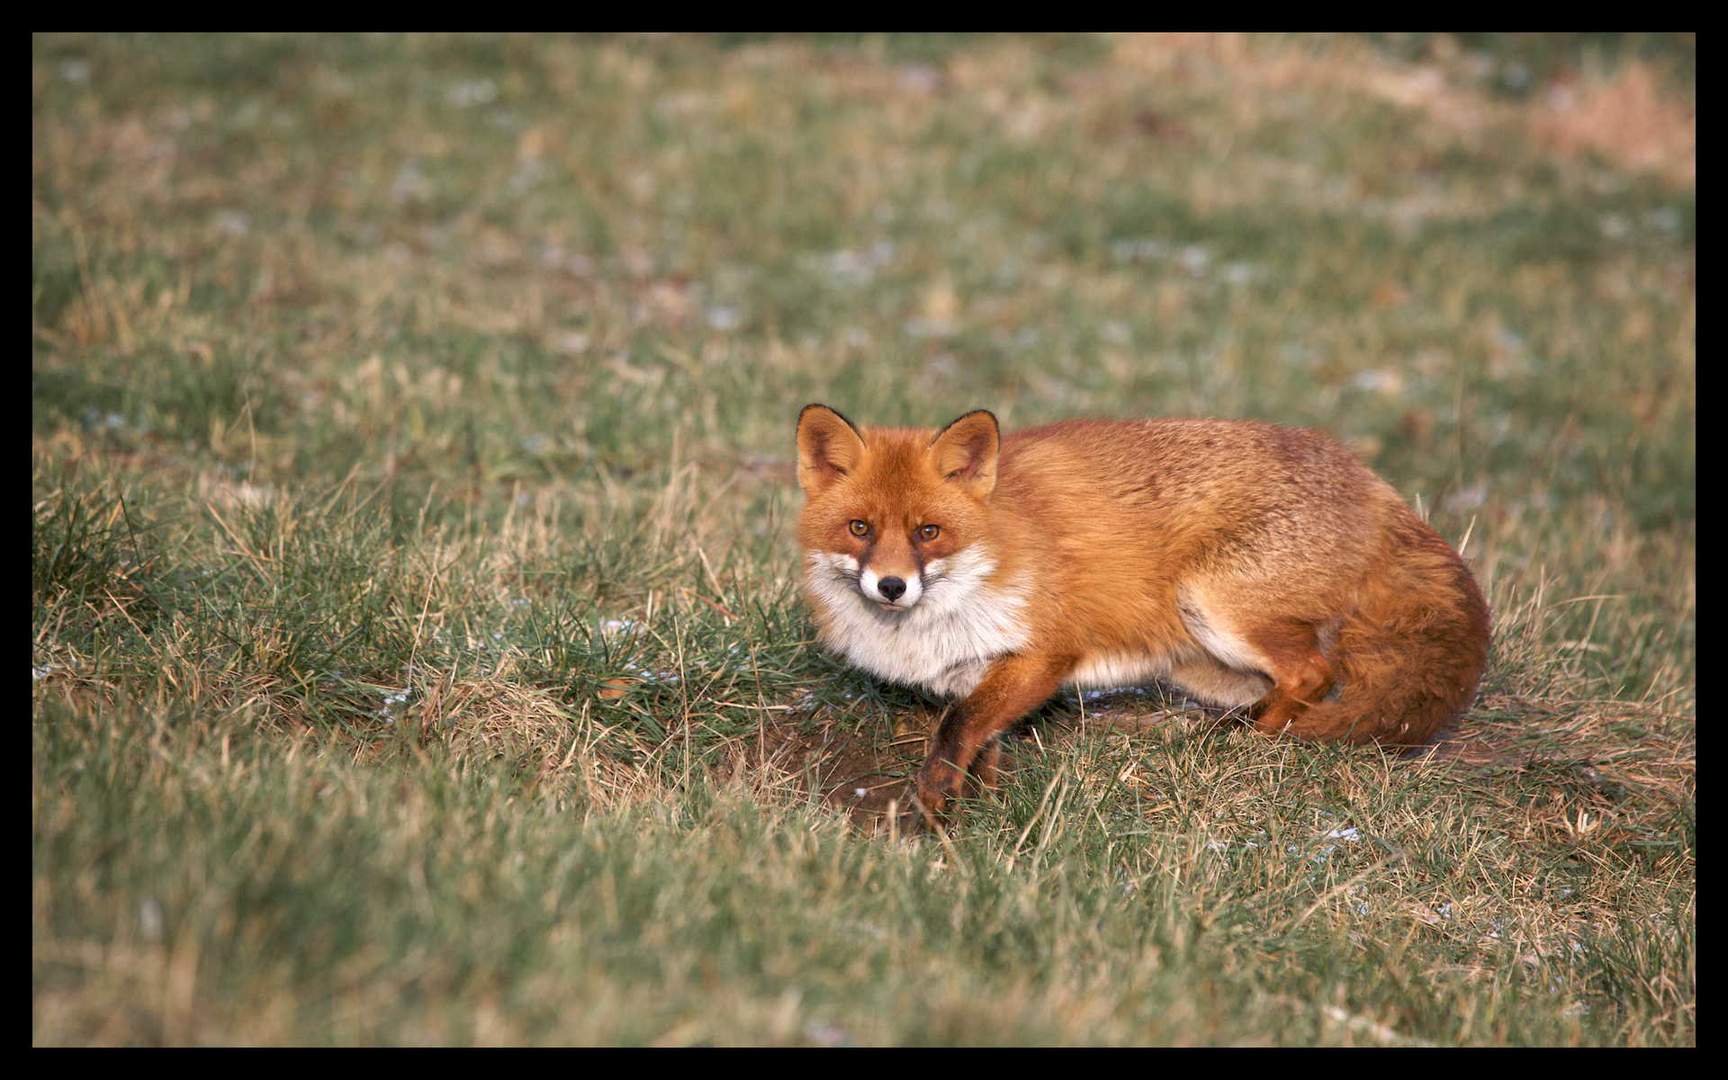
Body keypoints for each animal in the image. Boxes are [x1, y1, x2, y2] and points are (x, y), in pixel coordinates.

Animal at [791, 402, 1486, 815]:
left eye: (928, 532)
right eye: (859, 528)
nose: (891, 586)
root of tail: (1370, 483)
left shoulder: (1044, 652)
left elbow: (956, 729)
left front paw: (934, 807)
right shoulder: (976, 672)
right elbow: (978, 735)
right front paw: (978, 800)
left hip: (1213, 603)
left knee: (1314, 673)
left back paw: (1250, 742)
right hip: (1200, 664)